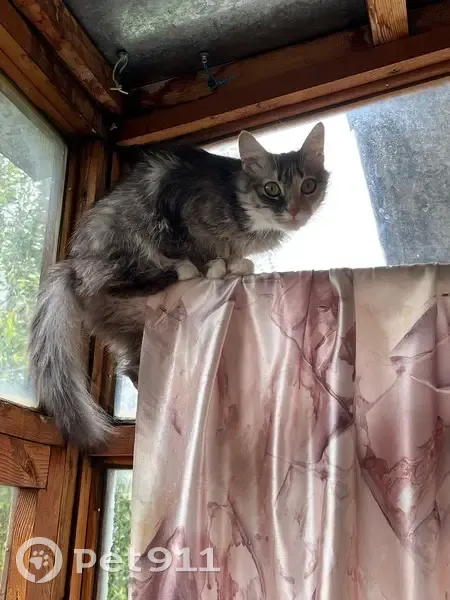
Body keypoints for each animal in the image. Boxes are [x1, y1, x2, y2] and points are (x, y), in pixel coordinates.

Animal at [29, 122, 329, 449]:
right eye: (271, 189)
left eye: (309, 185)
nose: (294, 211)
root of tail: (73, 263)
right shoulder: (186, 214)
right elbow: (200, 248)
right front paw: (215, 267)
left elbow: (231, 254)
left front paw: (237, 264)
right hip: (126, 241)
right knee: (117, 280)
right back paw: (180, 272)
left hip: (133, 331)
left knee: (131, 367)